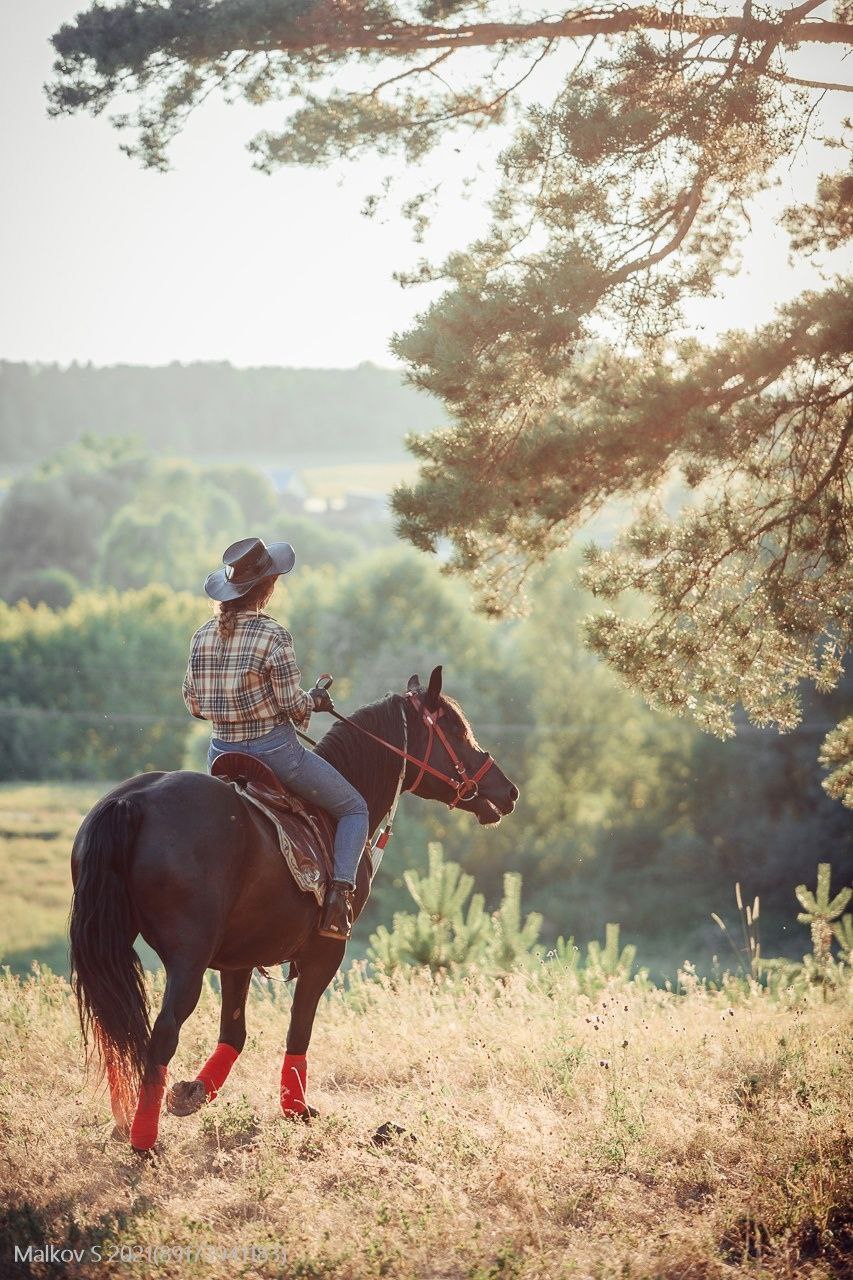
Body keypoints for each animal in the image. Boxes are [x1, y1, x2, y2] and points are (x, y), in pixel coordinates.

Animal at [68, 665, 517, 1157]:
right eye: (454, 728)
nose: (507, 791)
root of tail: (131, 802)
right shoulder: (325, 953)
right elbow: (299, 1028)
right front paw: (296, 1108)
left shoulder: (240, 958)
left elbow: (234, 1034)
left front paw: (194, 1093)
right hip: (188, 961)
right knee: (162, 1032)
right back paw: (144, 1141)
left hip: (113, 945)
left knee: (114, 1027)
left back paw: (123, 1120)